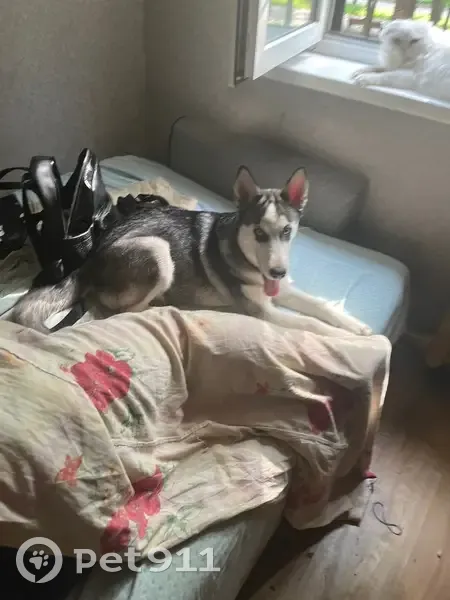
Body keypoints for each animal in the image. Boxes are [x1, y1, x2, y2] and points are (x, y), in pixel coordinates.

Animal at [11, 166, 371, 336]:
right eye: (258, 232)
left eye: (286, 231)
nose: (278, 272)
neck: (248, 258)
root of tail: (90, 257)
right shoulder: (263, 311)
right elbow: (310, 324)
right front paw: (342, 336)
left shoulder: (278, 289)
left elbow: (319, 306)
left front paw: (354, 325)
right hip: (158, 252)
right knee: (121, 310)